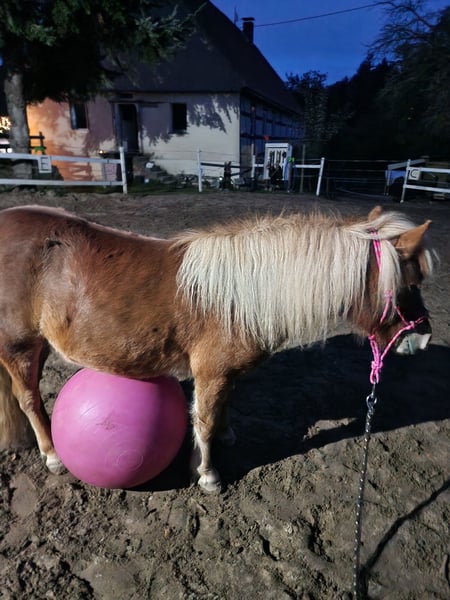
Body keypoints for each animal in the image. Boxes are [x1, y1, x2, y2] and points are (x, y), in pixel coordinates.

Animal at [0, 204, 435, 493]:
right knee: (30, 400)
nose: (423, 338)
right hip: (20, 348)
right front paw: (207, 475)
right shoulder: (211, 373)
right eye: (410, 285)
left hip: (38, 347)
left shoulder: (223, 375)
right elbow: (204, 420)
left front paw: (223, 440)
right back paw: (52, 455)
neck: (244, 293)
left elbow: (221, 410)